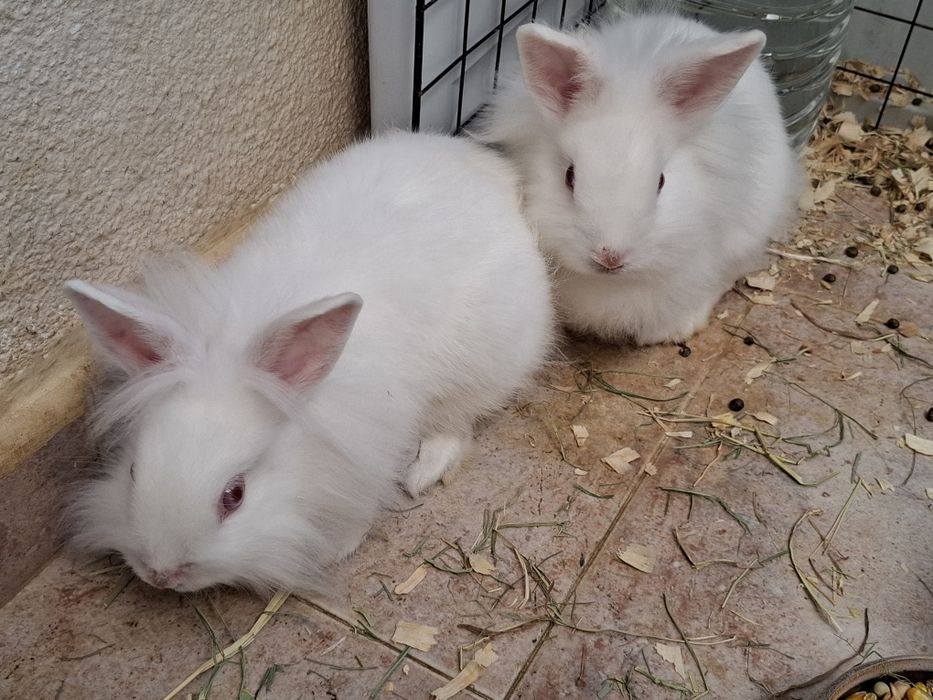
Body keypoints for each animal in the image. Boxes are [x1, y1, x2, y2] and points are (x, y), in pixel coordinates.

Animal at [63, 131, 554, 593]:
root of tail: (489, 168)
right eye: (133, 472)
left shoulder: (371, 451)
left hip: (481, 365)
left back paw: (422, 472)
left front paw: (336, 549)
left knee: (457, 424)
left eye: (234, 495)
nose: (162, 574)